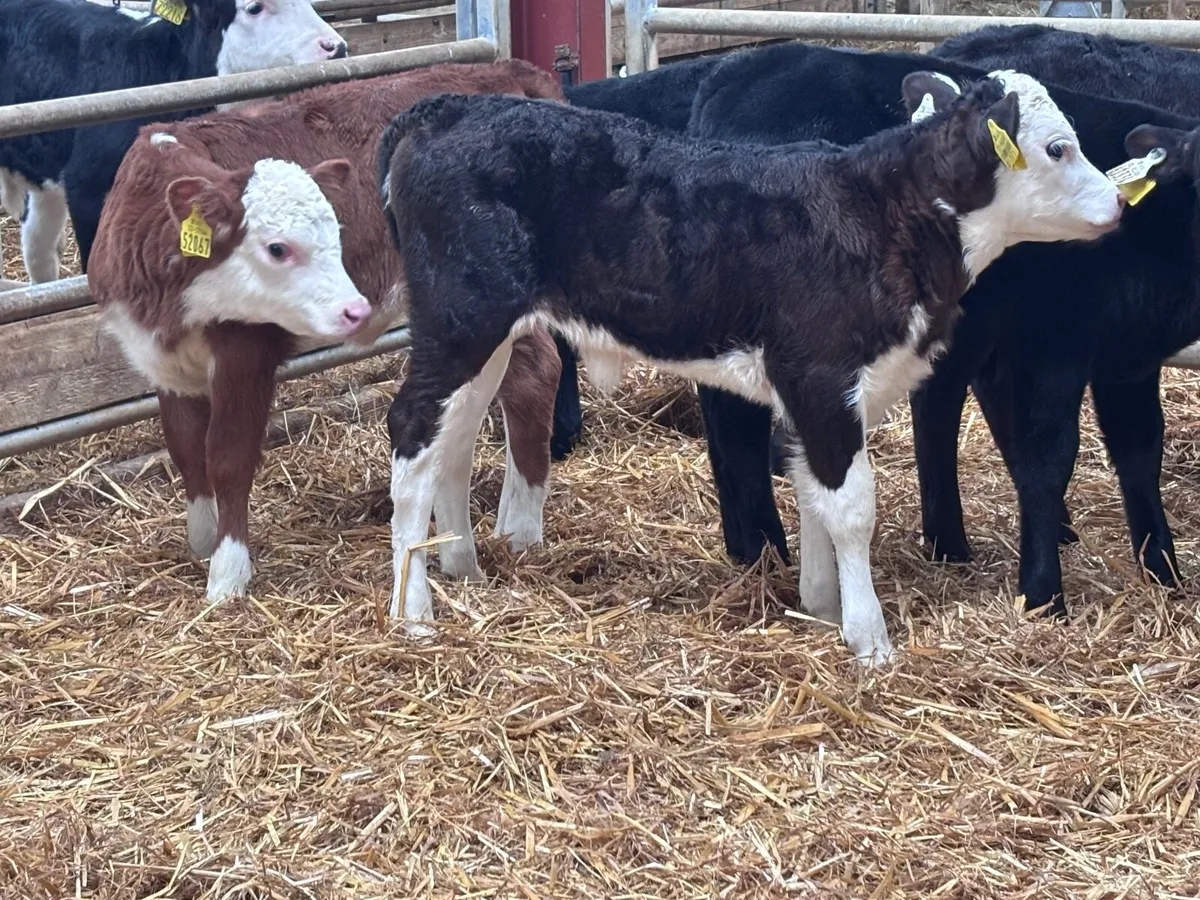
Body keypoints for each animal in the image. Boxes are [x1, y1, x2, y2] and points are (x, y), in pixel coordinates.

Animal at [86, 60, 566, 604]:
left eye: (337, 234)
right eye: (277, 247)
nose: (356, 309)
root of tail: (501, 68)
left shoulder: (247, 350)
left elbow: (227, 455)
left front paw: (228, 574)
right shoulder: (161, 363)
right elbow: (186, 450)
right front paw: (202, 542)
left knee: (537, 374)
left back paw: (521, 529)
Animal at [377, 70, 1123, 664]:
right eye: (1058, 147)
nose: (1121, 202)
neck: (882, 213)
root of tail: (447, 108)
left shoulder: (813, 394)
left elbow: (813, 493)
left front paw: (821, 606)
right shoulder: (822, 377)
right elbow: (851, 508)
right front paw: (869, 639)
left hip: (481, 337)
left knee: (452, 440)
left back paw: (463, 569)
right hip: (461, 322)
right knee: (411, 432)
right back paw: (412, 612)